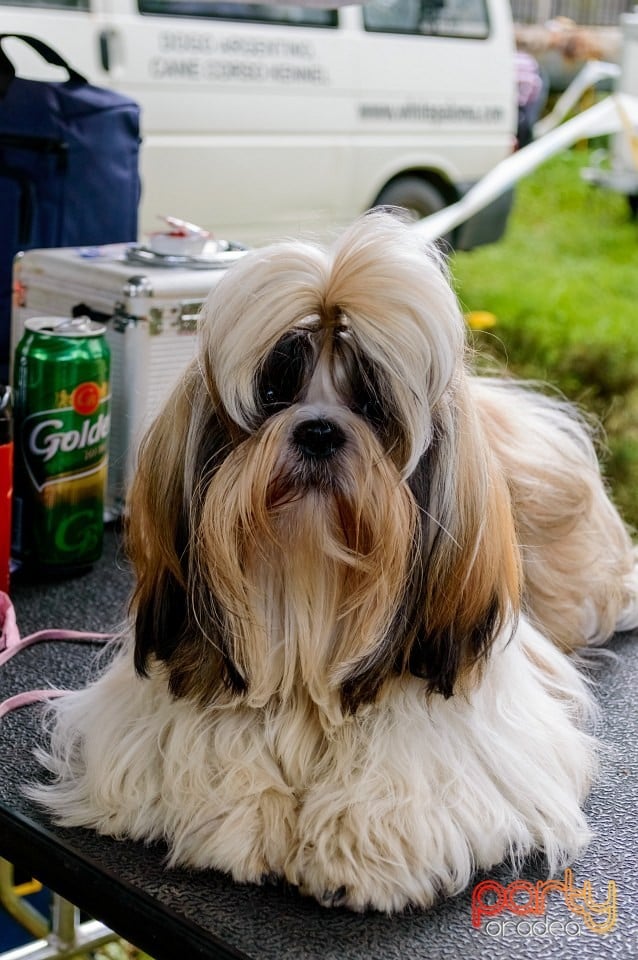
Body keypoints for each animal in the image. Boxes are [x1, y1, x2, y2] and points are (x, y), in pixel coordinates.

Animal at [32, 212, 638, 916]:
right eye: (273, 391)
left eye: (372, 406)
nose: (318, 428)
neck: (307, 589)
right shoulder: (149, 712)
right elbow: (206, 742)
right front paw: (240, 819)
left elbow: (410, 763)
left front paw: (358, 846)